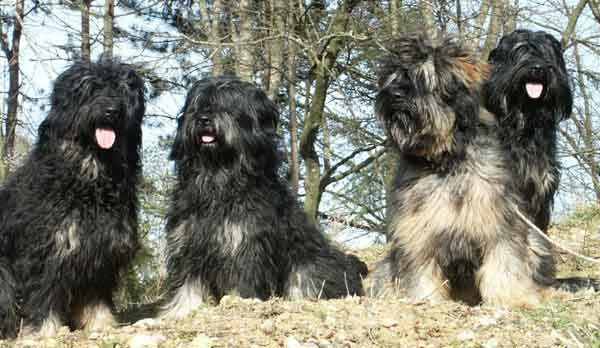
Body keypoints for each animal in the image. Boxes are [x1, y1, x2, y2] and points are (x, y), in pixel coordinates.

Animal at [0, 59, 145, 338]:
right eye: (90, 88)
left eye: (122, 89)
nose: (112, 111)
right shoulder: (46, 250)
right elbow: (42, 293)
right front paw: (42, 330)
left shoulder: (101, 251)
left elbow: (96, 296)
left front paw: (101, 323)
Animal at [372, 35, 556, 308]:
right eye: (393, 78)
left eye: (422, 77)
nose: (392, 94)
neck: (447, 162)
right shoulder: (416, 232)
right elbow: (420, 271)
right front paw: (424, 299)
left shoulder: (499, 223)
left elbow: (505, 264)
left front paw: (513, 299)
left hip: (533, 239)